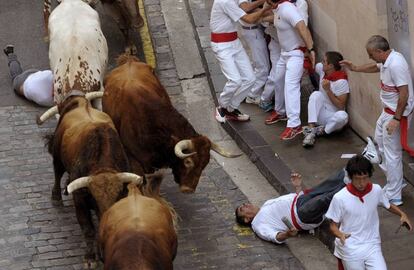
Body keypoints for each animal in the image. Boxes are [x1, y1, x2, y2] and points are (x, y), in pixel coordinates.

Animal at [46, 94, 141, 268]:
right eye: (94, 197)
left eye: (118, 194)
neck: (102, 166)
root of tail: (82, 102)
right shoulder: (80, 201)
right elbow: (89, 230)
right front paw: (90, 257)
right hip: (57, 155)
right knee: (57, 172)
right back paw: (56, 196)